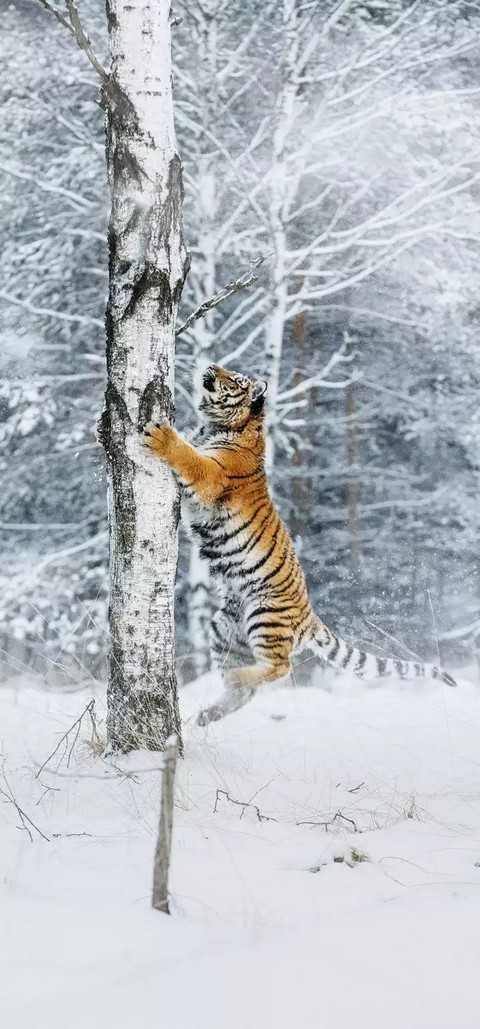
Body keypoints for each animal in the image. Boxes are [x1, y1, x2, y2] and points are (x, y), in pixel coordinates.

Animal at [142, 362, 456, 724]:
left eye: (235, 379)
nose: (210, 366)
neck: (220, 426)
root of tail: (310, 615)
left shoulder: (212, 475)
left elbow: (188, 457)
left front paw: (162, 436)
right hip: (225, 630)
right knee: (246, 690)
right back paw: (207, 715)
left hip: (266, 617)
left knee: (280, 667)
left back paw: (230, 687)